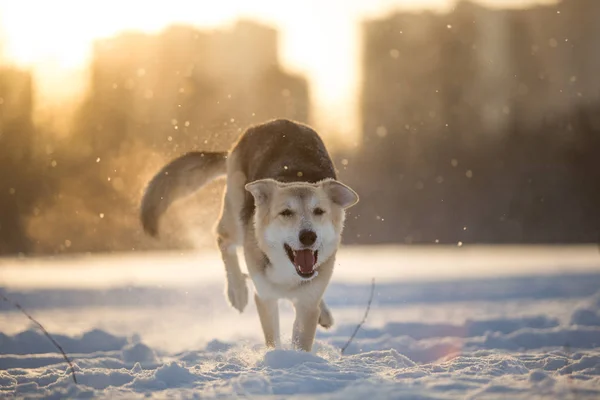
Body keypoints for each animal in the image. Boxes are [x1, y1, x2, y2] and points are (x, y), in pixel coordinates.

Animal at [138, 118, 358, 350]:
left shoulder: (307, 304)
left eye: (319, 212)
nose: (308, 236)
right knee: (222, 238)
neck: (287, 271)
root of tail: (271, 123)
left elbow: (303, 337)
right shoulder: (265, 298)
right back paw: (236, 290)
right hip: (235, 215)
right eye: (286, 213)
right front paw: (277, 357)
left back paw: (324, 313)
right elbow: (273, 339)